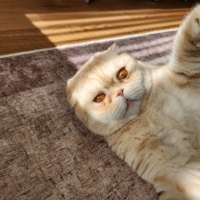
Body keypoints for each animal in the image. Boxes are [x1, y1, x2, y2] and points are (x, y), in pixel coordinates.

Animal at [66, 5, 200, 200]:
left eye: (122, 74)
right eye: (99, 98)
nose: (120, 92)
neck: (145, 113)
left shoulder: (186, 75)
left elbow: (185, 44)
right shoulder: (178, 168)